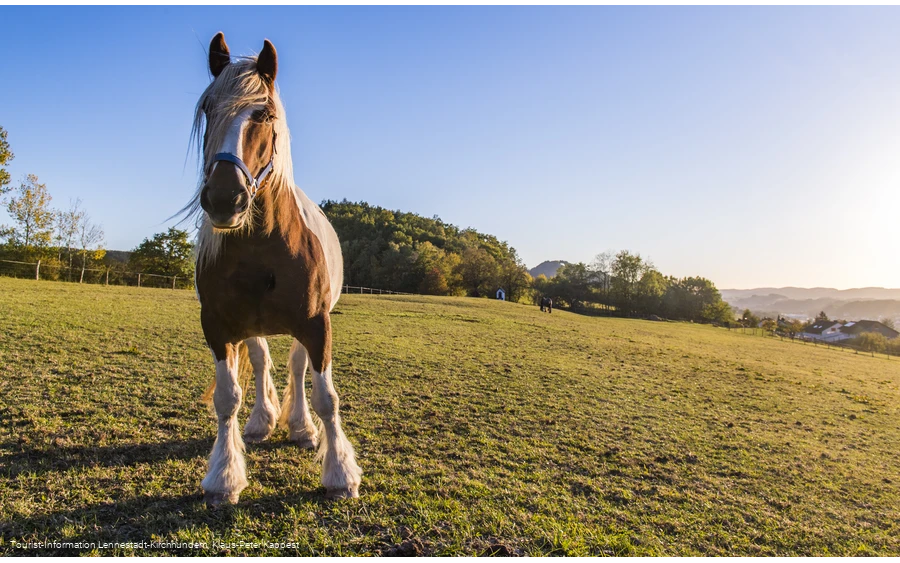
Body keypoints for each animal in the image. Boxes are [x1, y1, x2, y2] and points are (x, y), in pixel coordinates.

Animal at [183, 33, 361, 507]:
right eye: (208, 109)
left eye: (263, 113)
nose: (224, 198)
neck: (263, 246)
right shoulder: (218, 326)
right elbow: (227, 398)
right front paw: (224, 477)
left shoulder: (317, 324)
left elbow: (326, 398)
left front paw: (340, 473)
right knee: (263, 361)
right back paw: (262, 421)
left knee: (298, 368)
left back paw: (300, 426)